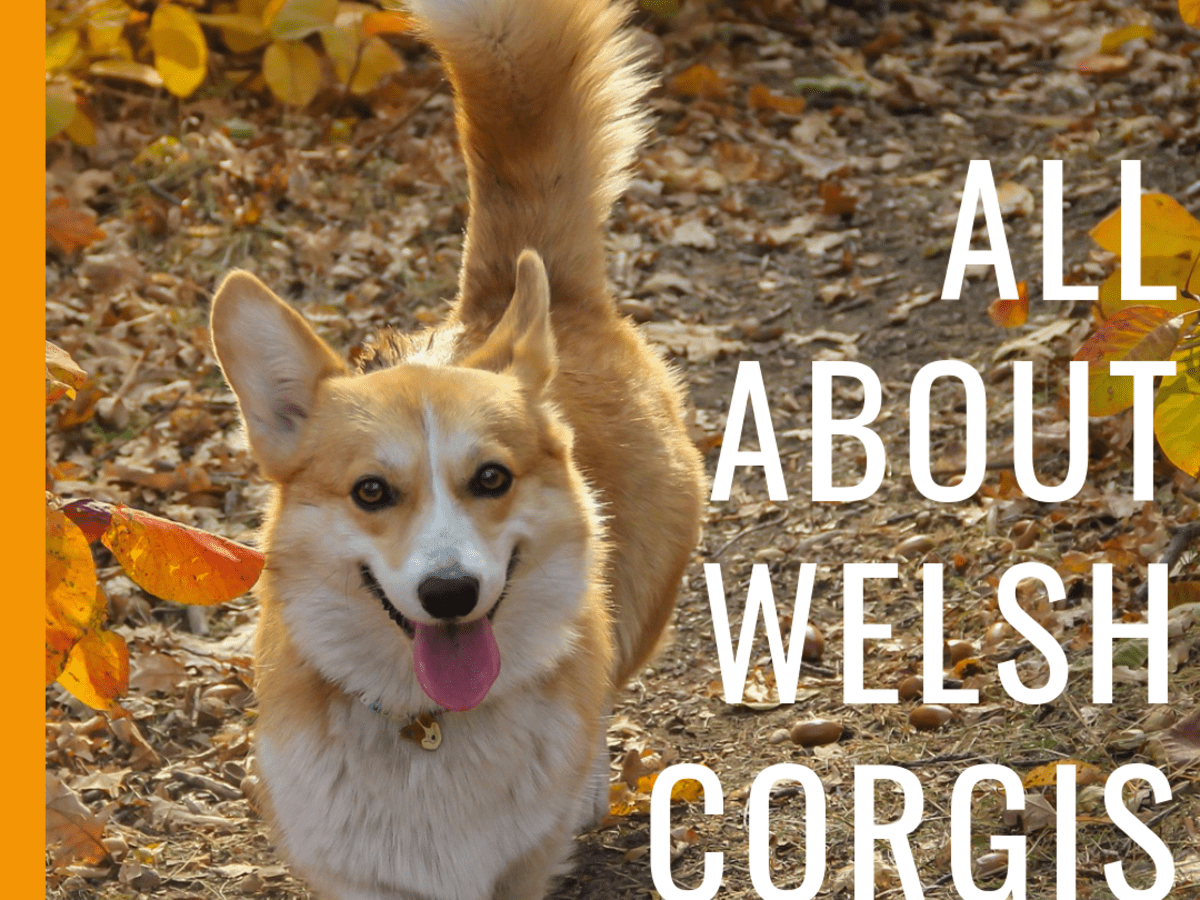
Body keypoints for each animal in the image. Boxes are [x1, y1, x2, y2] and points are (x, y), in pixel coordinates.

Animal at [207, 1, 700, 900]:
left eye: (491, 478)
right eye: (371, 492)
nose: (449, 593)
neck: (427, 723)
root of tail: (517, 297)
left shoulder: (517, 869)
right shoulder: (349, 876)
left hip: (642, 598)